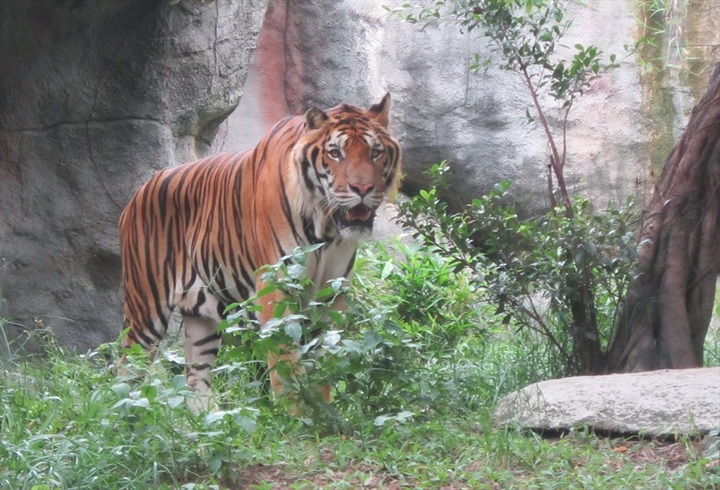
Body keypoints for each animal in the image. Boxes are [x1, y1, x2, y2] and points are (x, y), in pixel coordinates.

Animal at [118, 93, 402, 410]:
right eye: (335, 153)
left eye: (375, 152)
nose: (363, 188)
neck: (326, 230)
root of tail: (140, 191)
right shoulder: (277, 287)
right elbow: (286, 366)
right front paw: (294, 415)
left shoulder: (331, 292)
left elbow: (323, 367)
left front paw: (322, 410)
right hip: (146, 309)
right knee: (123, 370)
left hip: (202, 322)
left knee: (196, 380)